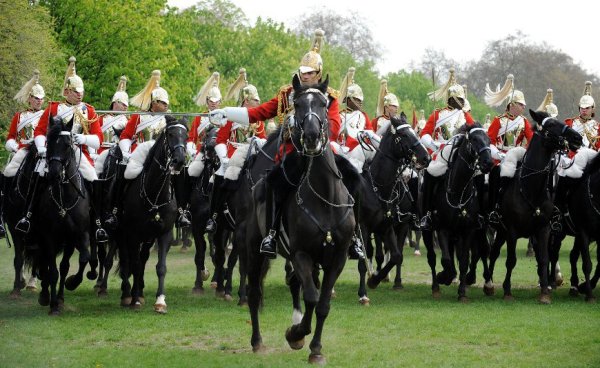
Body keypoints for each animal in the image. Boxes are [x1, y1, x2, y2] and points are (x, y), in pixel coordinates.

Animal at [31, 117, 92, 314]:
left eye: (67, 144)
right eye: (49, 143)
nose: (54, 174)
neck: (65, 199)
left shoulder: (78, 235)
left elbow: (81, 259)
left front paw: (72, 283)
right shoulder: (49, 237)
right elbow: (52, 271)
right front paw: (53, 305)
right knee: (44, 263)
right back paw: (45, 296)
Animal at [116, 116, 188, 312]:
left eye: (185, 135)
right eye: (170, 134)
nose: (179, 160)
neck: (154, 194)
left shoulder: (164, 234)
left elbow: (160, 267)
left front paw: (160, 301)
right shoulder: (132, 235)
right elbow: (133, 264)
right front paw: (134, 299)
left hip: (147, 238)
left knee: (142, 259)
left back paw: (139, 291)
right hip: (122, 235)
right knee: (126, 260)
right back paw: (127, 294)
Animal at [245, 75, 356, 366]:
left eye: (323, 104)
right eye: (297, 104)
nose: (312, 137)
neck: (324, 198)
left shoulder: (337, 258)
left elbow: (323, 303)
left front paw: (315, 348)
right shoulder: (301, 254)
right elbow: (311, 297)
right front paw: (295, 334)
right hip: (253, 250)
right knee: (254, 293)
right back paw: (257, 342)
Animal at [420, 122, 494, 300]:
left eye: (488, 139)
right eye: (474, 139)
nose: (488, 162)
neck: (459, 191)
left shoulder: (469, 230)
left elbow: (464, 260)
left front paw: (462, 291)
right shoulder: (442, 229)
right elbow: (446, 260)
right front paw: (444, 277)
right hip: (428, 231)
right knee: (432, 258)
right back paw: (436, 286)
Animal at [488, 110, 580, 304]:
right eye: (551, 125)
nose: (578, 137)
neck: (531, 188)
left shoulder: (543, 229)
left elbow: (544, 258)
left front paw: (545, 292)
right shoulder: (512, 231)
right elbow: (511, 260)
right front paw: (507, 290)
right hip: (500, 229)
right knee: (492, 253)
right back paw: (488, 284)